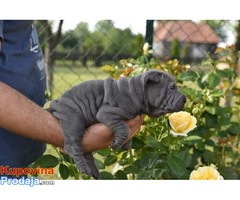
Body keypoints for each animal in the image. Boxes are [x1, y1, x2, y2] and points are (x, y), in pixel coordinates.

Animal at [48, 69, 186, 180]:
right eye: (172, 88)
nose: (185, 98)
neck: (135, 92)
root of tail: (55, 105)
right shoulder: (106, 112)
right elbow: (123, 128)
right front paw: (118, 142)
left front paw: (127, 144)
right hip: (73, 120)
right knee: (72, 146)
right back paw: (84, 168)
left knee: (86, 152)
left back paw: (94, 172)